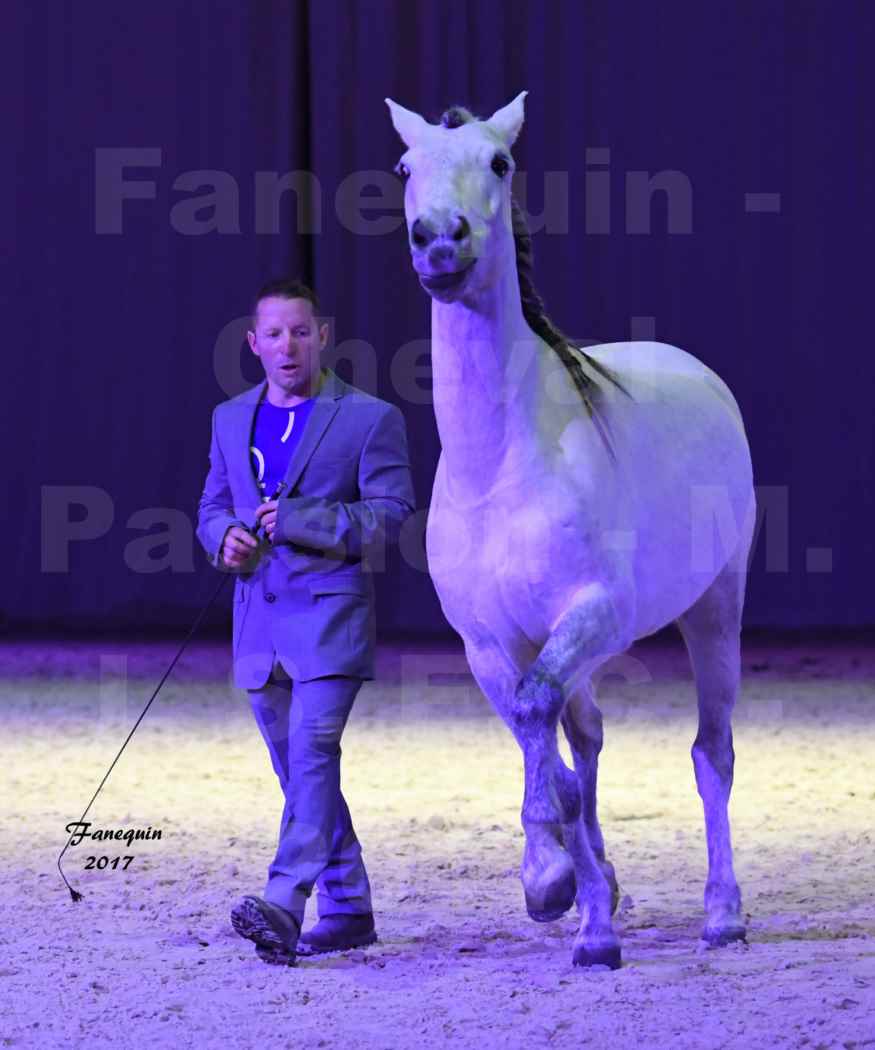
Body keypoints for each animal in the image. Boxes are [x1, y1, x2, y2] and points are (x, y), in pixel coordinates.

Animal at [386, 92, 756, 965]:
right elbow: (544, 745)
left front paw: (557, 881)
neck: (501, 465)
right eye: (405, 166)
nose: (440, 241)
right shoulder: (489, 645)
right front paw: (573, 894)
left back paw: (721, 914)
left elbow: (538, 720)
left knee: (711, 752)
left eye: (499, 162)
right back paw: (597, 914)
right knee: (584, 740)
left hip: (714, 607)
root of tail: (692, 367)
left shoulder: (592, 613)